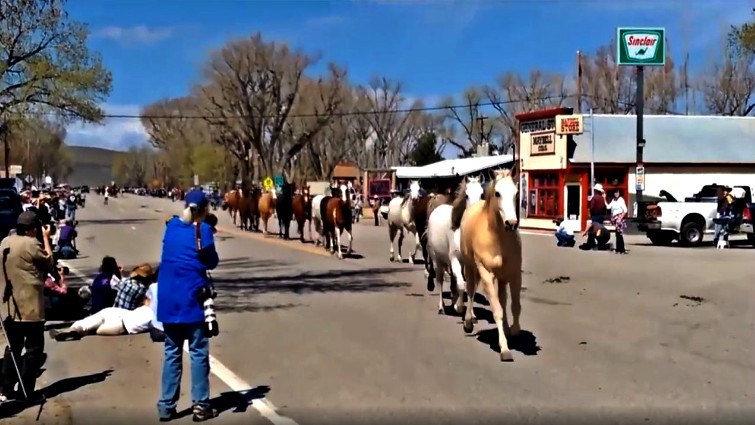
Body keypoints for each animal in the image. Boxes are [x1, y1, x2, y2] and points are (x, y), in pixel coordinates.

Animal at [425, 176, 485, 315]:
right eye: (466, 195)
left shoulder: (471, 264)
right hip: (438, 260)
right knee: (440, 281)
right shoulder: (454, 259)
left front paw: (471, 313)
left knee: (453, 280)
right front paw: (460, 307)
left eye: (482, 194)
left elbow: (471, 287)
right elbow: (462, 284)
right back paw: (441, 307)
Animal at [459, 169, 521, 362]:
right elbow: (497, 310)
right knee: (471, 290)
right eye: (497, 193)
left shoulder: (514, 274)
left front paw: (514, 331)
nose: (511, 223)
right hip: (470, 268)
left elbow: (514, 305)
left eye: (516, 193)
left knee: (502, 298)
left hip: (502, 278)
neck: (498, 239)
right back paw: (468, 321)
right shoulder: (486, 274)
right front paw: (505, 349)